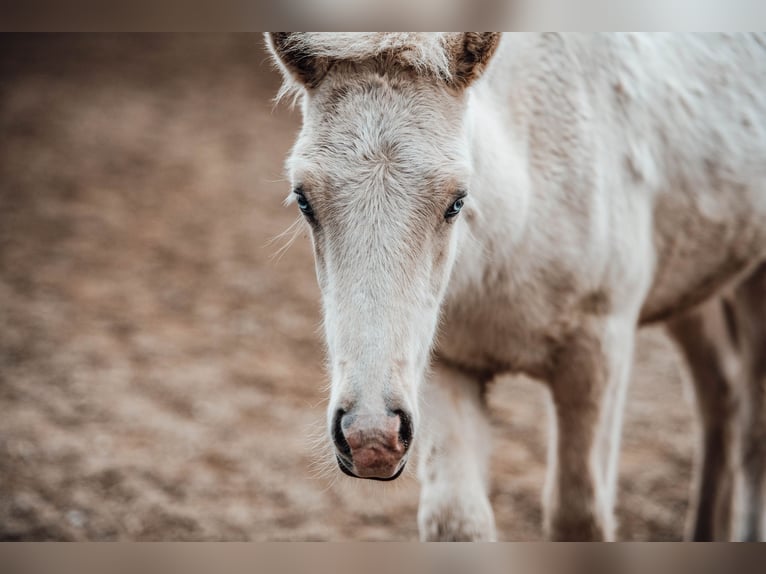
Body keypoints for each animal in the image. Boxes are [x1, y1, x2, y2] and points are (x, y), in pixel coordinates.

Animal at [266, 32, 766, 541]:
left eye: (457, 201)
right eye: (304, 200)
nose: (371, 438)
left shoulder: (600, 351)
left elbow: (579, 514)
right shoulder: (446, 363)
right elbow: (456, 519)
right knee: (720, 398)